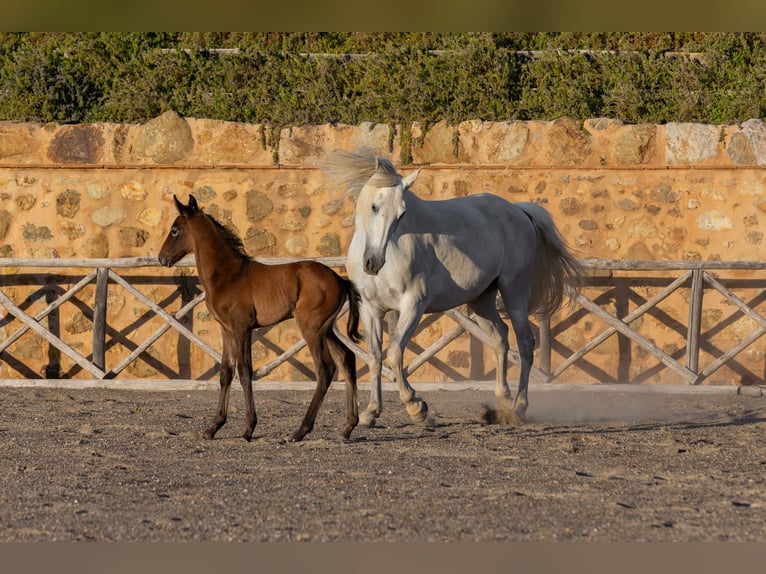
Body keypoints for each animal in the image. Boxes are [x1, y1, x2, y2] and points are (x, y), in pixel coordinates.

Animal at [157, 194, 361, 442]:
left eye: (174, 230)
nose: (161, 258)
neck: (228, 275)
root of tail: (340, 280)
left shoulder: (242, 328)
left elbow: (245, 371)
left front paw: (248, 428)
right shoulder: (226, 330)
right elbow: (226, 372)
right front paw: (213, 427)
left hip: (311, 329)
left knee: (325, 368)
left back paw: (300, 431)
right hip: (327, 328)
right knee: (346, 358)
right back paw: (348, 426)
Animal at [322, 149, 582, 428]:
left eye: (402, 214)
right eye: (374, 206)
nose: (373, 262)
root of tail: (519, 211)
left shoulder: (413, 305)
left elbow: (394, 352)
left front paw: (416, 406)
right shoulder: (371, 309)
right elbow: (374, 357)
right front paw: (371, 412)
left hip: (515, 291)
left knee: (524, 342)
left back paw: (519, 406)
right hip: (481, 299)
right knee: (500, 337)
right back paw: (502, 399)